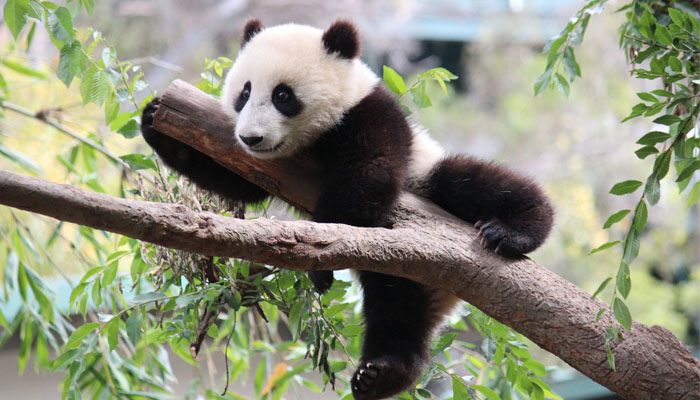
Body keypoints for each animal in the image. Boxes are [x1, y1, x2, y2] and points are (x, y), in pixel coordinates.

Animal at [139, 18, 556, 400]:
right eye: (244, 92)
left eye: (283, 95)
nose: (251, 137)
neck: (312, 138)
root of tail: (447, 295)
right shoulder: (266, 164)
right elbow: (234, 179)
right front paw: (154, 118)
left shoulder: (369, 113)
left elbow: (369, 175)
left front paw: (319, 262)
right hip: (405, 271)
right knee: (396, 310)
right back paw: (382, 374)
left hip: (427, 181)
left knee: (472, 181)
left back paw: (514, 231)